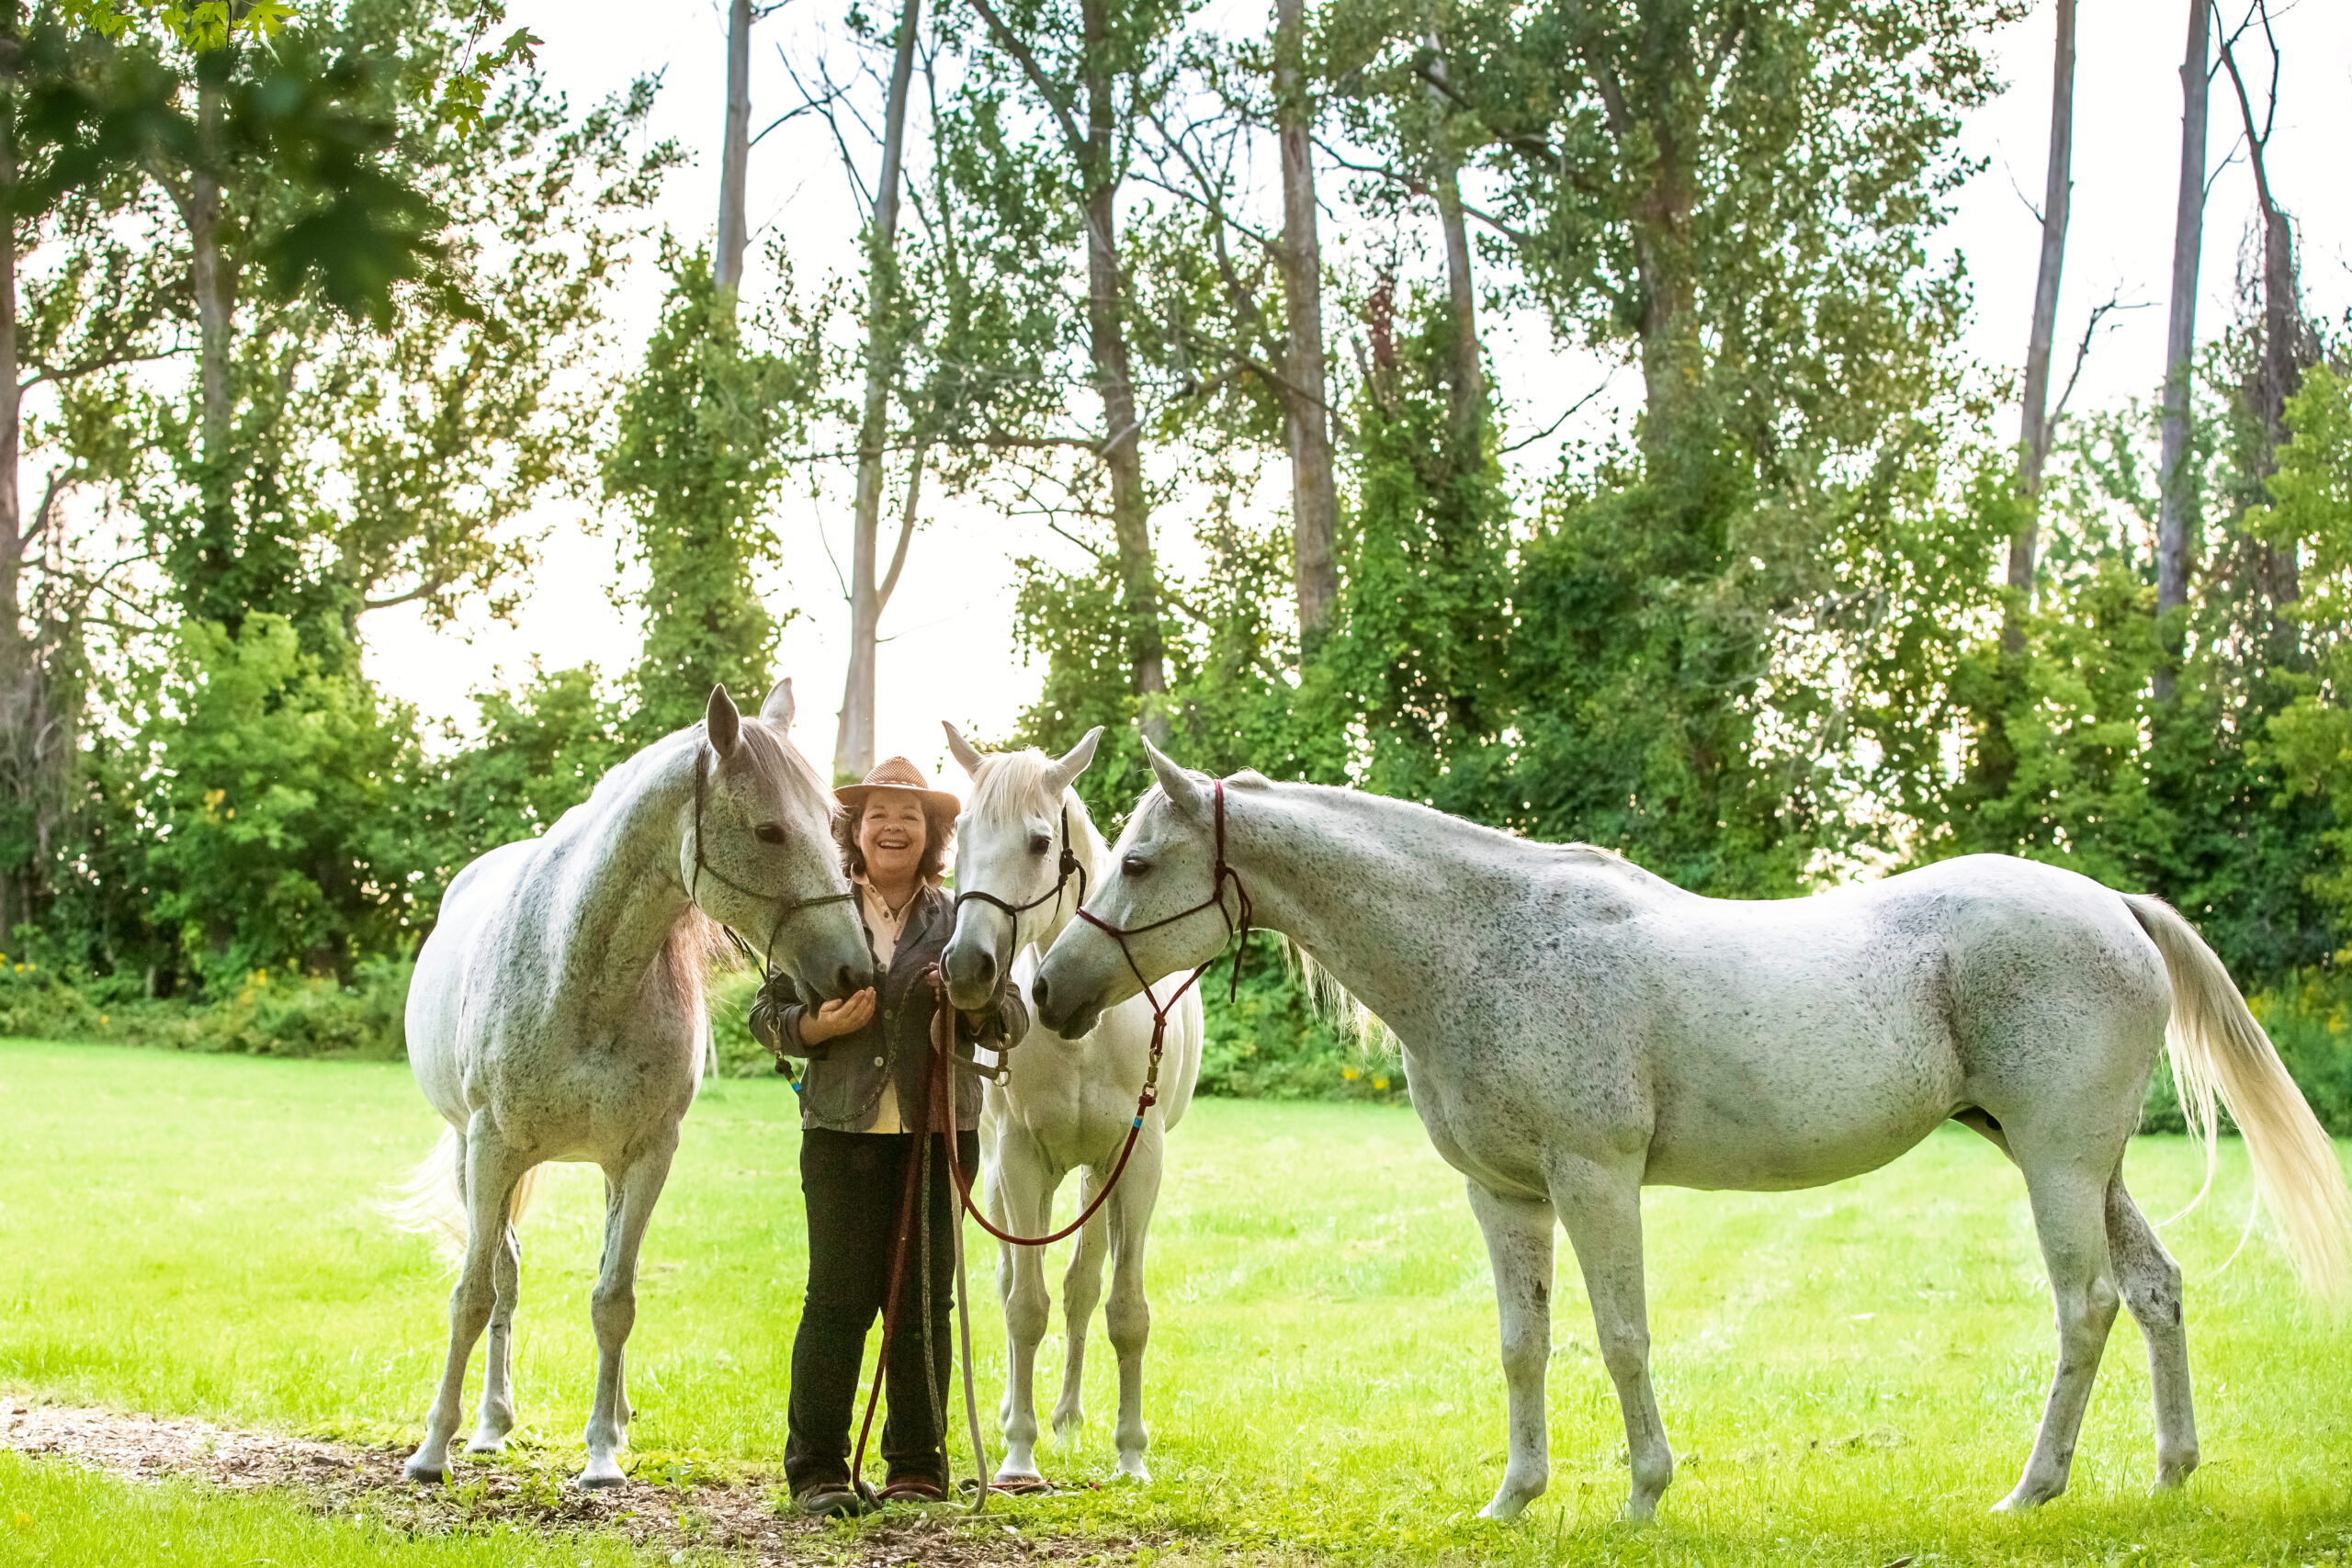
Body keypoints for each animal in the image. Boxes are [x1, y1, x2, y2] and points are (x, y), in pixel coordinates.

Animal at [391, 682, 873, 1489]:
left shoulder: (647, 1155)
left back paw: (606, 1420)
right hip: (471, 1154)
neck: (579, 972)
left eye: (835, 825)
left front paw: (601, 1456)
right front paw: (433, 1448)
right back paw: (489, 1424)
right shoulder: (490, 1149)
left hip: (609, 1171)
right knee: (504, 1274)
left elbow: (614, 1298)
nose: (855, 971)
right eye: (770, 830)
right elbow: (474, 1293)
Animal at [936, 722, 1203, 1484]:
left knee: (1084, 1286)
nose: (966, 968)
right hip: (1008, 1174)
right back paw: (1015, 1414)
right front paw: (1018, 1453)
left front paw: (1131, 1454)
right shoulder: (1022, 1158)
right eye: (961, 831)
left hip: (1091, 1176)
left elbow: (1124, 1308)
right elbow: (1025, 1306)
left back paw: (1069, 1415)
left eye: (1036, 842)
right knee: (1012, 1279)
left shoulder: (1136, 1159)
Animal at [1031, 738, 2352, 1522]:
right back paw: (2169, 1473)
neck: (1483, 942)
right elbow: (1522, 1344)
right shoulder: (1504, 1195)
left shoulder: (1595, 1177)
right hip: (2083, 1160)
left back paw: (2032, 1490)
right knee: (2157, 1288)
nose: (1048, 991)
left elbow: (1620, 1337)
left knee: (2088, 1305)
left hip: (2058, 1161)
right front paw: (1513, 1498)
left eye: (1138, 861)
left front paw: (1642, 1496)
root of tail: (2113, 908)